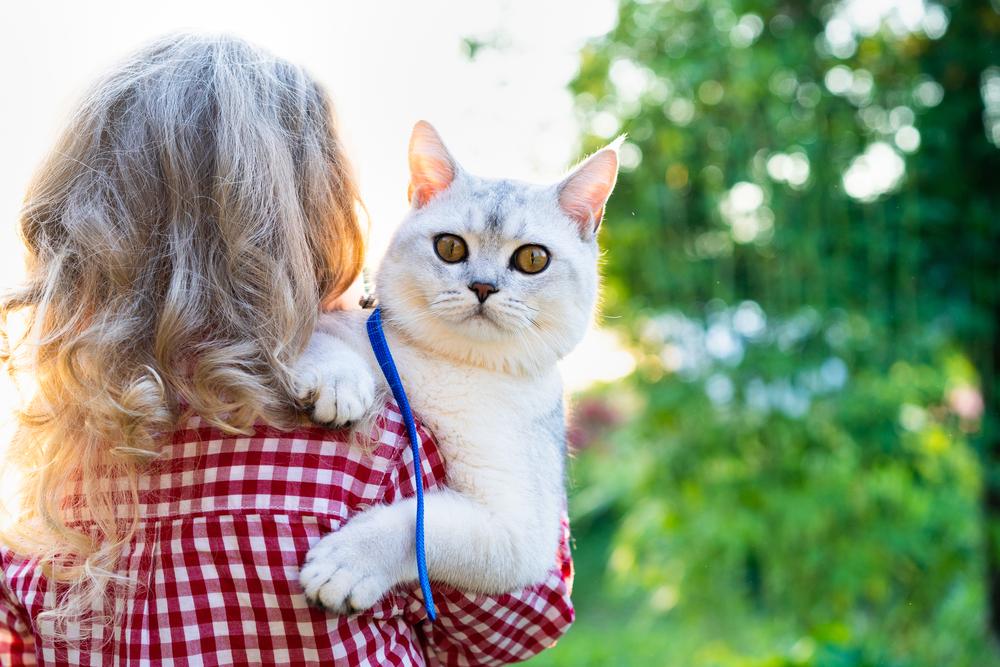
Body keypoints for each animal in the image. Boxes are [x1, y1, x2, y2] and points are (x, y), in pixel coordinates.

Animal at [294, 122, 616, 612]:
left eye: (533, 259)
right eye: (449, 247)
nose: (482, 286)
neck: (454, 364)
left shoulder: (520, 534)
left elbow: (420, 527)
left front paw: (347, 564)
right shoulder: (361, 331)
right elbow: (321, 337)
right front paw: (338, 383)